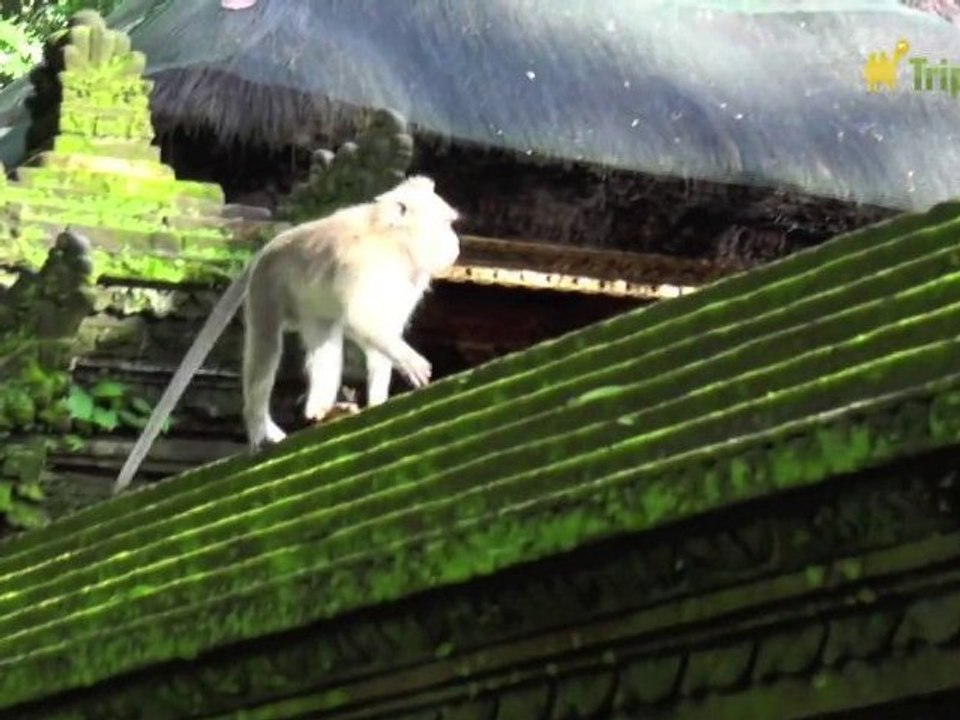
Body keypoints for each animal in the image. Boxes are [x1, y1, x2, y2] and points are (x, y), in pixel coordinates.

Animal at [113, 175, 460, 494]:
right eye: (445, 224)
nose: (455, 242)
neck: (395, 241)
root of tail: (268, 246)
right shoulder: (365, 263)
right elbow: (363, 319)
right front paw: (410, 362)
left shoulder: (409, 279)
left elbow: (378, 331)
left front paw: (378, 400)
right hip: (266, 287)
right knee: (266, 349)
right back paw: (260, 429)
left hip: (307, 305)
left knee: (325, 334)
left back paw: (321, 410)